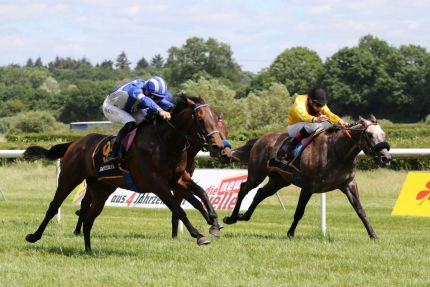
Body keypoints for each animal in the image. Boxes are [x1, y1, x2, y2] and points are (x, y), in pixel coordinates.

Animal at [24, 95, 225, 252]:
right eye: (200, 119)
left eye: (215, 118)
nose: (218, 146)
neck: (165, 142)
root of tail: (75, 143)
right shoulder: (157, 184)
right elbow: (179, 209)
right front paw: (199, 235)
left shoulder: (177, 179)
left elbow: (200, 194)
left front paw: (214, 222)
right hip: (69, 178)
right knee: (54, 207)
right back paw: (34, 236)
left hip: (102, 189)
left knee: (89, 218)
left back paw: (88, 250)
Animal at [223, 116, 392, 240]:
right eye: (370, 135)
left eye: (383, 134)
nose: (386, 158)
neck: (336, 152)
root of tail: (261, 138)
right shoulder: (308, 186)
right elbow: (299, 212)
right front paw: (290, 233)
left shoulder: (348, 184)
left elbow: (360, 210)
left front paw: (373, 235)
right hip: (257, 173)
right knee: (244, 188)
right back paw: (232, 217)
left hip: (280, 180)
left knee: (260, 193)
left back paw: (244, 216)